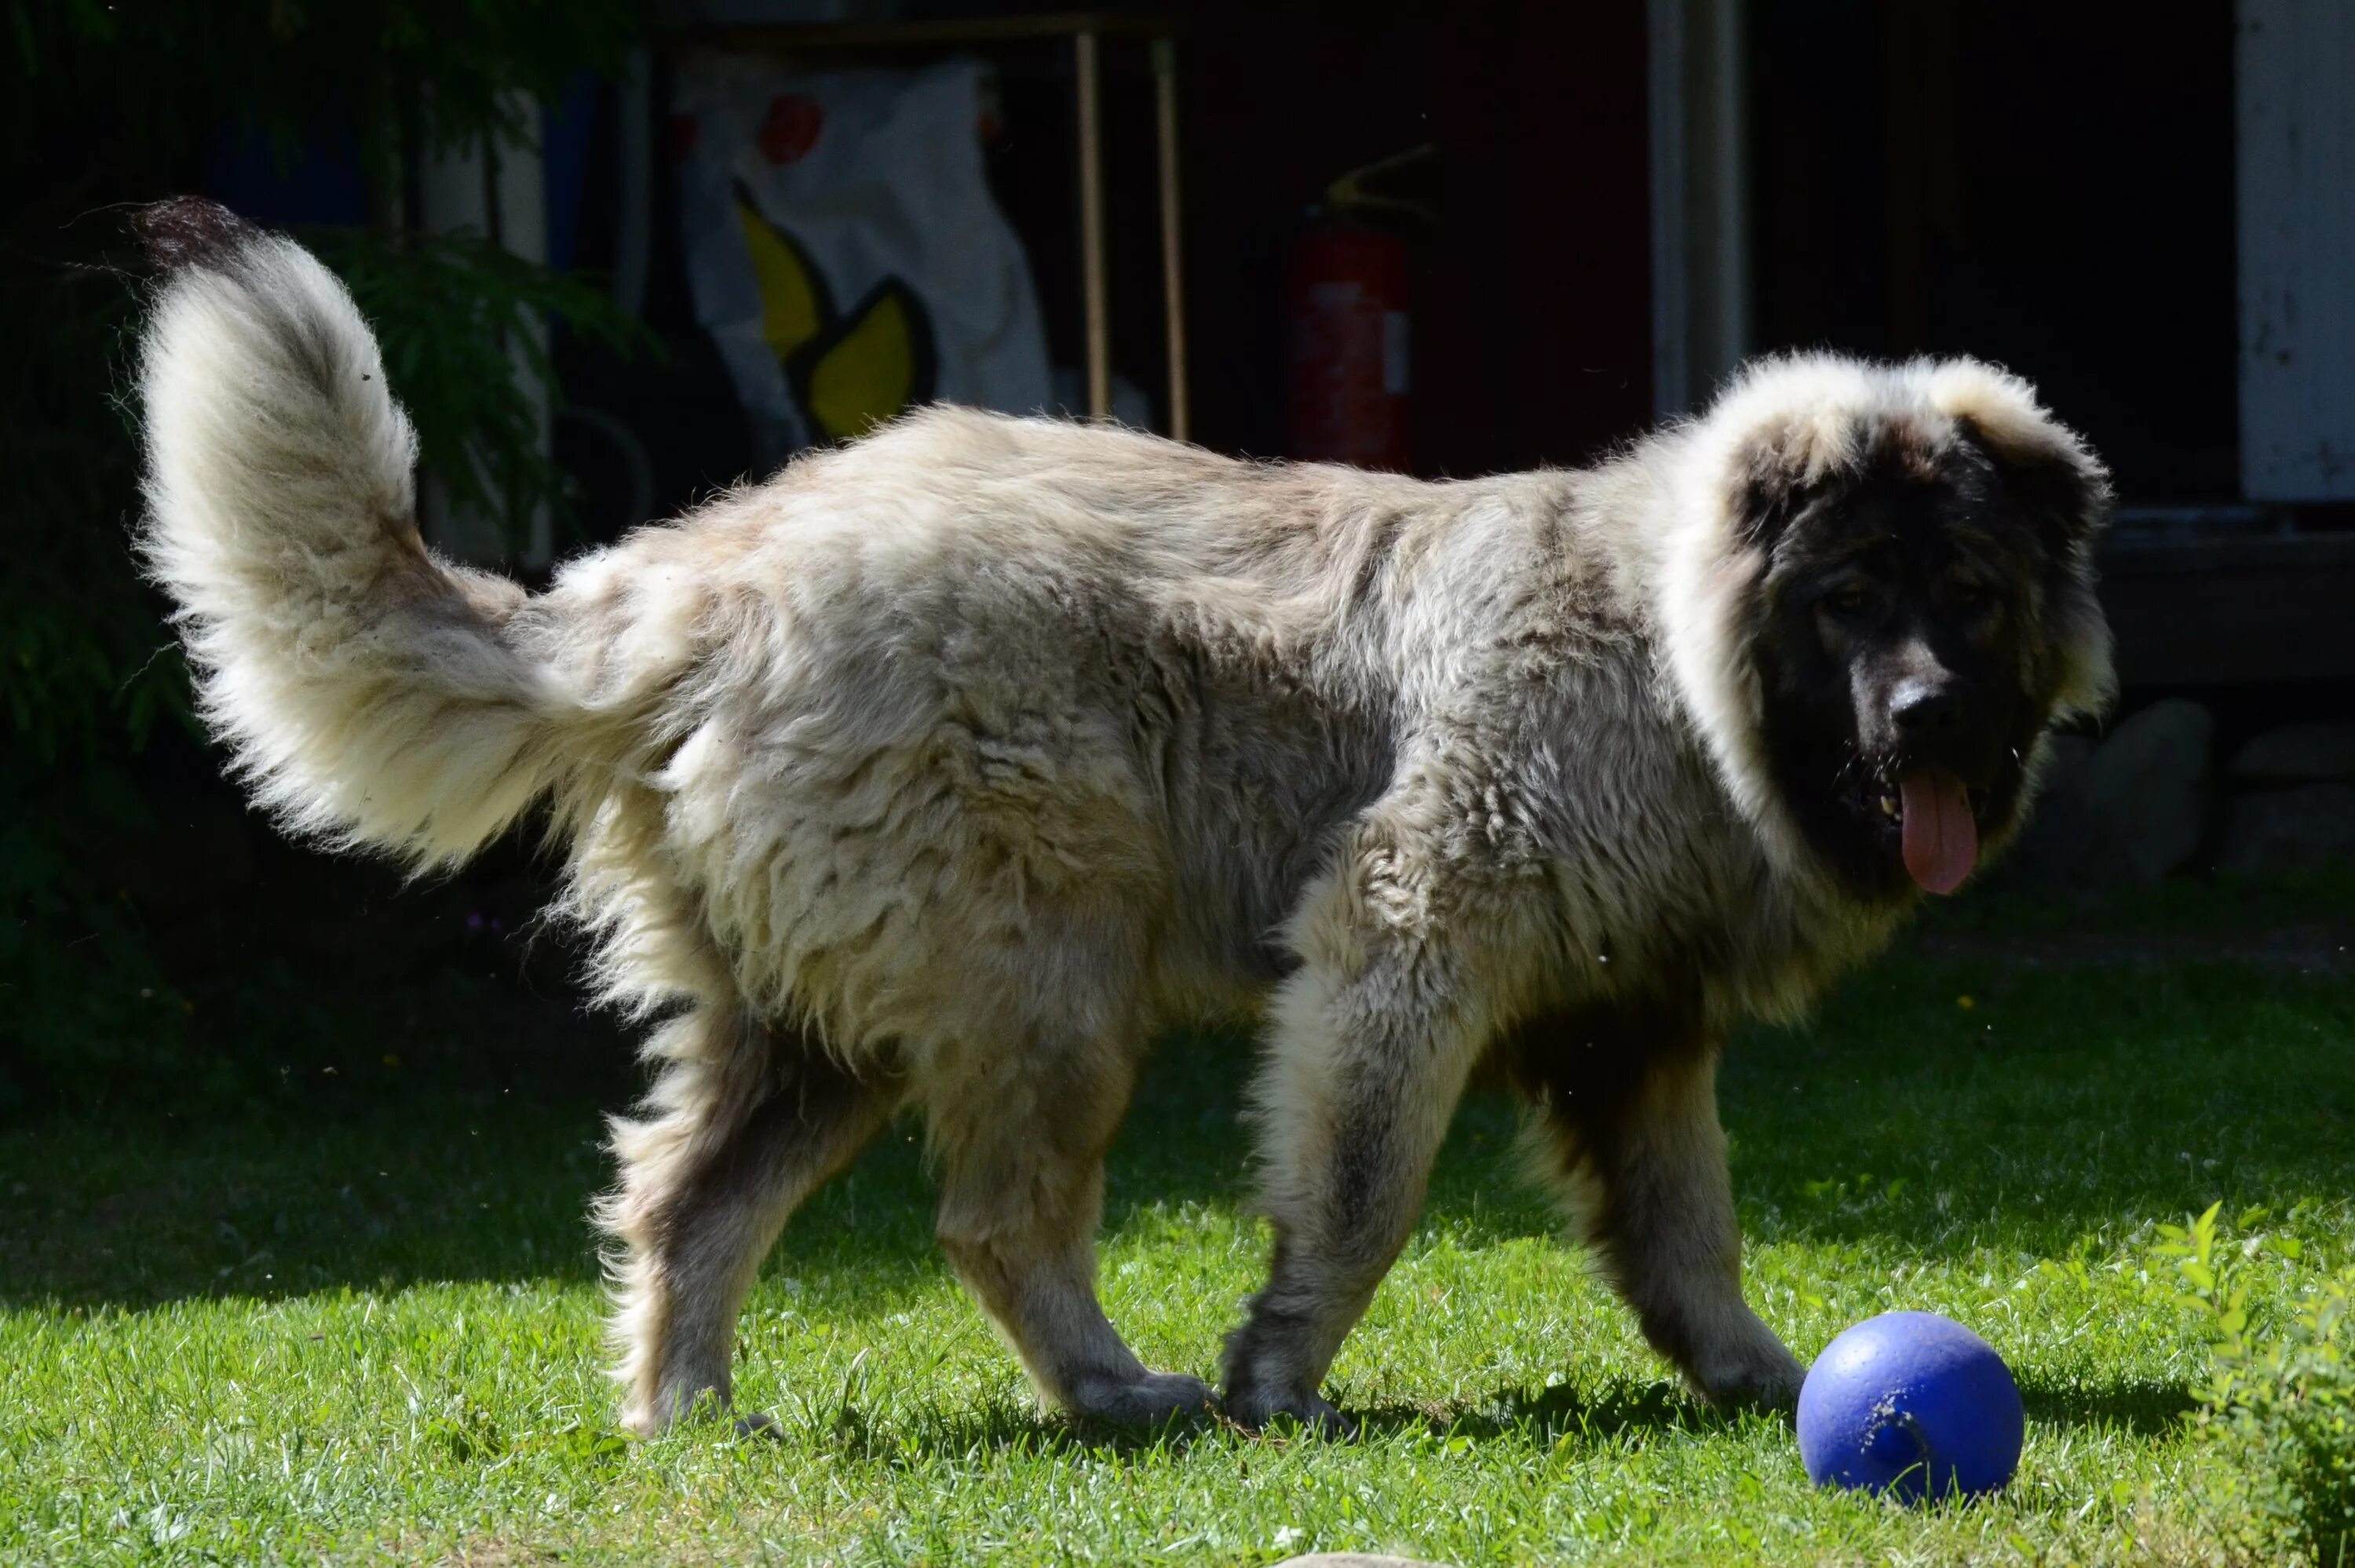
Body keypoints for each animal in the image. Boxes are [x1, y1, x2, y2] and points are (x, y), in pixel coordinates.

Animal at [137, 201, 2110, 1431]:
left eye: (1967, 592)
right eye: (1848, 599)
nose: (1929, 718)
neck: (1671, 654)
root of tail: (686, 579)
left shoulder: (1635, 1028)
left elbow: (1687, 1232)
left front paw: (1763, 1377)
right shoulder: (1404, 948)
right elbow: (1361, 1200)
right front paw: (1278, 1376)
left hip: (820, 1022)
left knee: (684, 1207)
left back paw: (689, 1415)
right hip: (1046, 986)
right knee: (992, 1223)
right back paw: (1111, 1390)